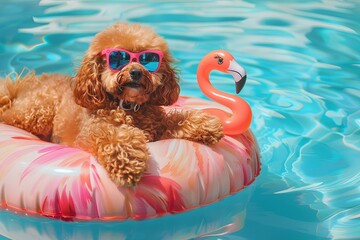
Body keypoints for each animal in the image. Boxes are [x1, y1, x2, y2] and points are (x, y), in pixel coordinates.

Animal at [0, 22, 224, 187]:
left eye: (148, 59)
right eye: (118, 58)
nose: (136, 72)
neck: (128, 107)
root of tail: (25, 85)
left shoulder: (158, 126)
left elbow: (177, 119)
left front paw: (207, 124)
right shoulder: (90, 132)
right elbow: (113, 135)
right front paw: (128, 162)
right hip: (38, 112)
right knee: (10, 114)